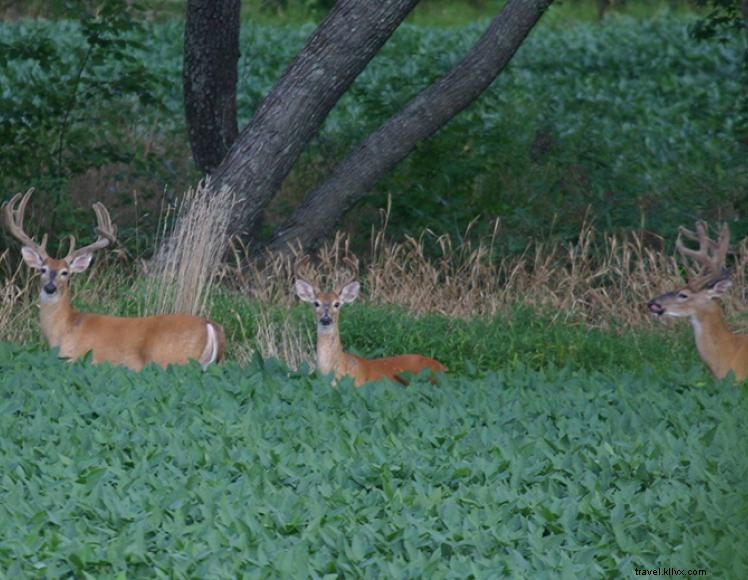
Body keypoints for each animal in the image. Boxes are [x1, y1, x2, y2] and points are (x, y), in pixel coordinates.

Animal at [3, 190, 225, 372]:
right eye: (42, 270)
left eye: (65, 273)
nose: (50, 288)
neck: (66, 329)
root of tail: (210, 325)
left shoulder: (76, 359)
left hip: (173, 361)